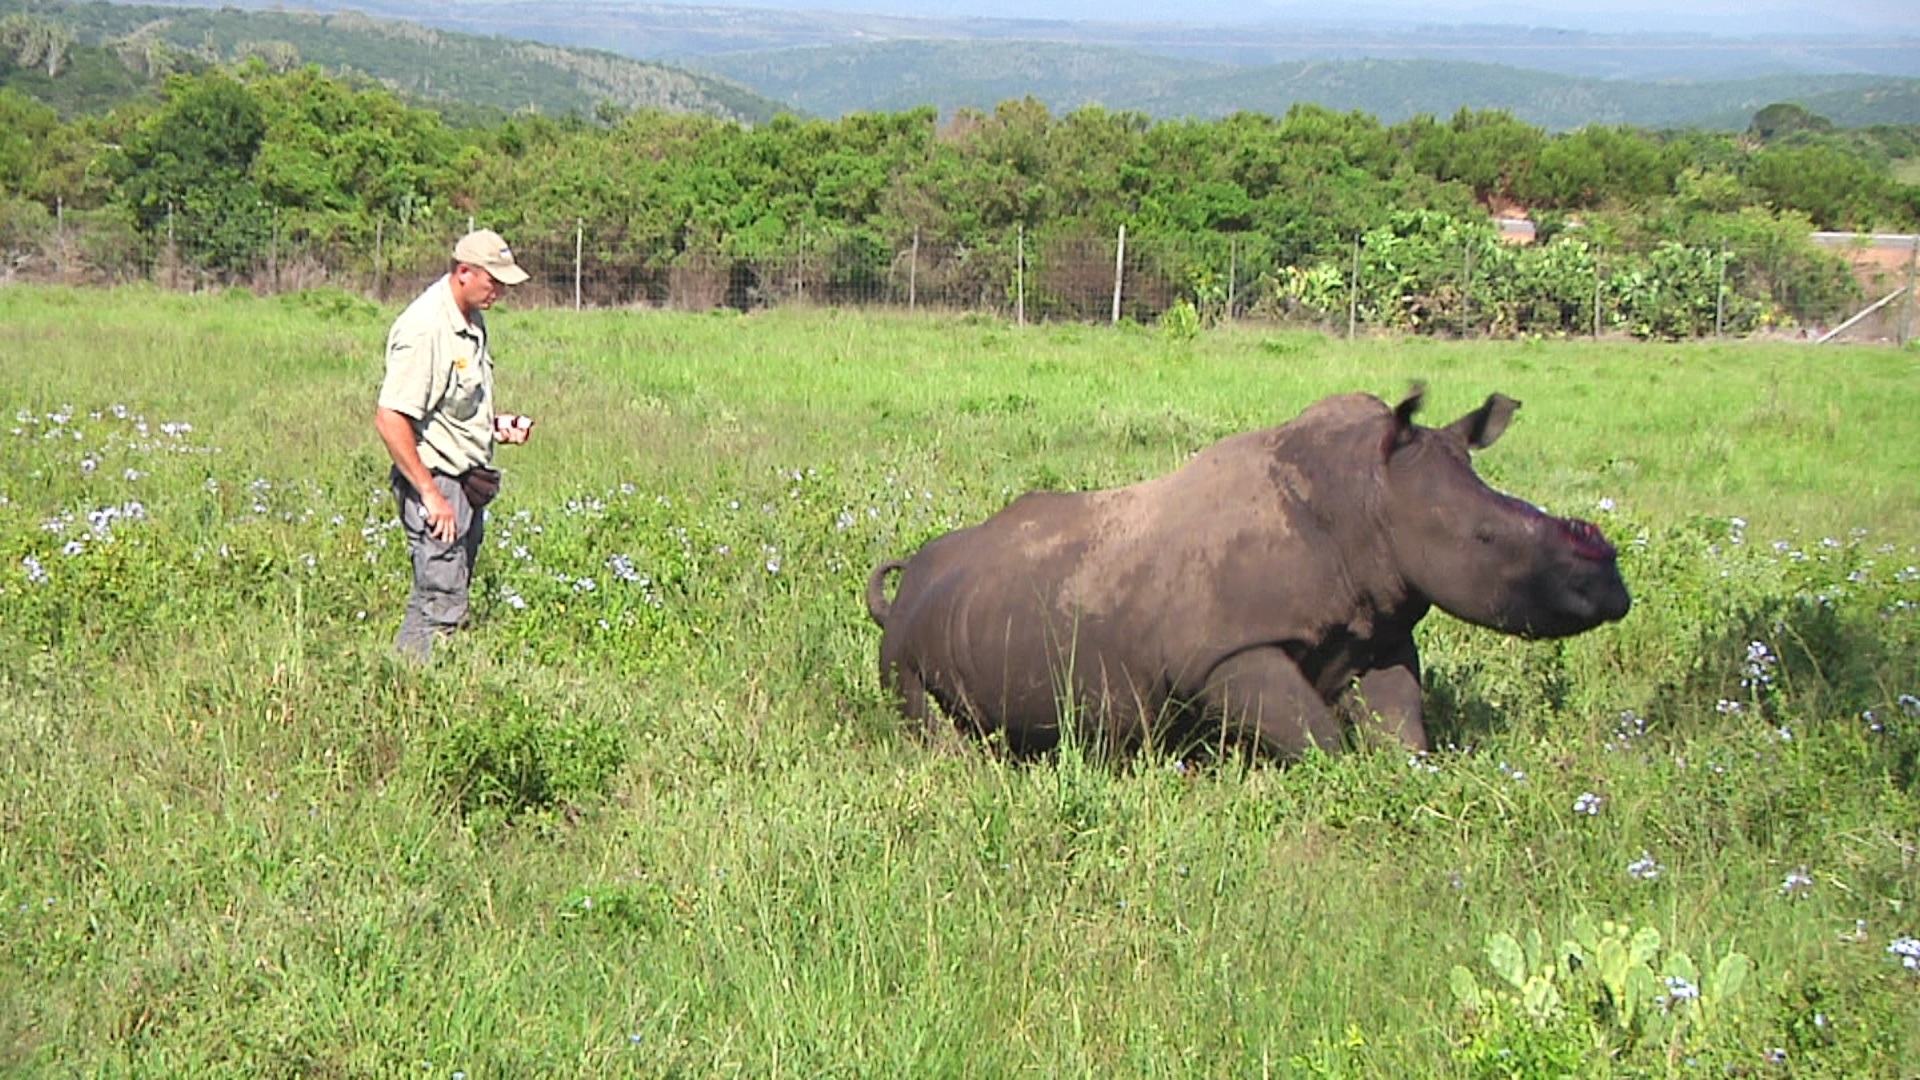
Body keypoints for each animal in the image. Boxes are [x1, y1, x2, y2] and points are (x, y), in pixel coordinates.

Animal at [871, 386, 1635, 757]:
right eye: (1484, 538)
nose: (1615, 593)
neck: (1363, 496)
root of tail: (901, 590)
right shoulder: (1228, 653)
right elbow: (1319, 737)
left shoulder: (1380, 632)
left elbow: (1400, 726)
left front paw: (1411, 780)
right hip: (905, 641)